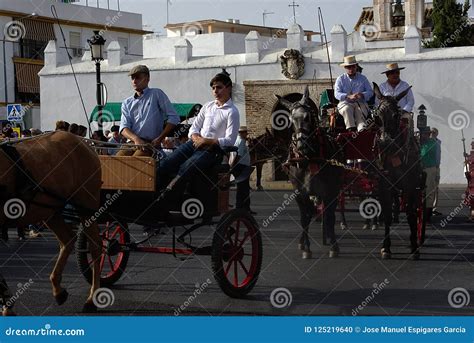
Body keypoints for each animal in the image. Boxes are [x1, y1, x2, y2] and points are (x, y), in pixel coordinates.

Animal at [0, 132, 102, 314]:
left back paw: (92, 298)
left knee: (95, 246)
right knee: (67, 240)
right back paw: (58, 290)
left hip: (86, 204)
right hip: (49, 211)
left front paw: (7, 306)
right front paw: (7, 305)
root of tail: (83, 142)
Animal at [372, 84, 424, 260]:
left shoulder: (411, 185)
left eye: (396, 115)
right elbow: (387, 214)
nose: (384, 142)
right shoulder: (384, 184)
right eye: (377, 116)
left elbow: (411, 213)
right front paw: (386, 248)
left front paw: (414, 247)